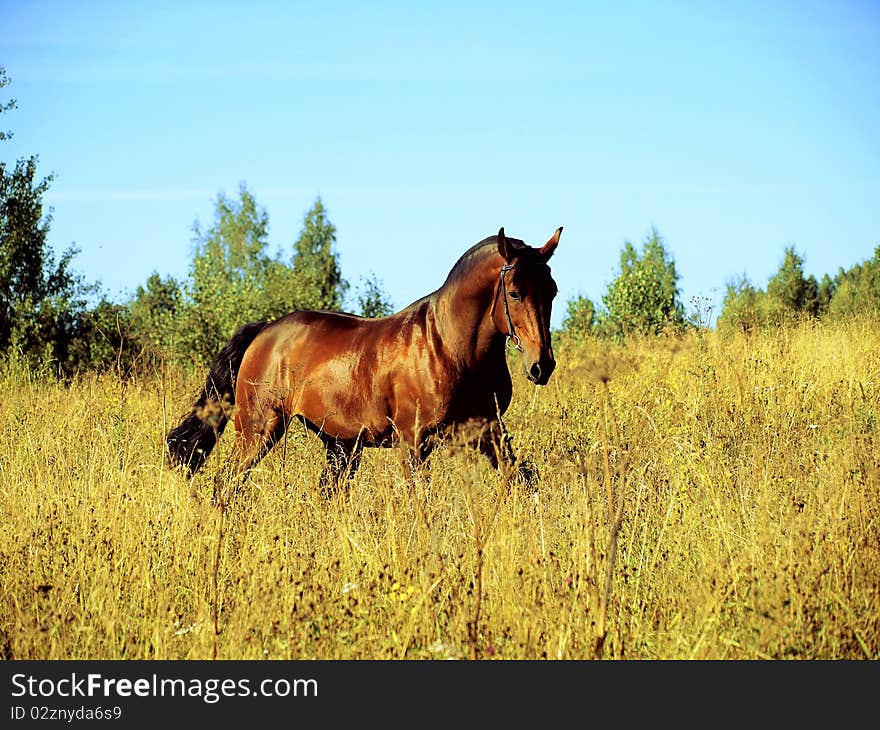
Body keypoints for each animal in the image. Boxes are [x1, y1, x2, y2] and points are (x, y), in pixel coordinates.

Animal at [164, 225, 560, 492]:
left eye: (552, 291)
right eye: (514, 293)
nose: (542, 366)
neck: (451, 348)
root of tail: (266, 331)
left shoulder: (489, 432)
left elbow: (519, 480)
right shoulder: (414, 442)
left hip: (339, 445)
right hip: (258, 430)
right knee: (226, 485)